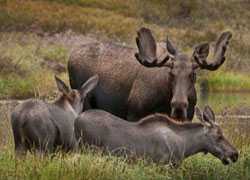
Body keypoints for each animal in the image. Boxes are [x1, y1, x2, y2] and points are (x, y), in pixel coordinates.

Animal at [68, 27, 232, 121]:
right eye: (170, 73)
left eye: (193, 75)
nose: (179, 106)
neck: (164, 100)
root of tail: (70, 57)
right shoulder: (134, 113)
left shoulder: (188, 117)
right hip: (83, 100)